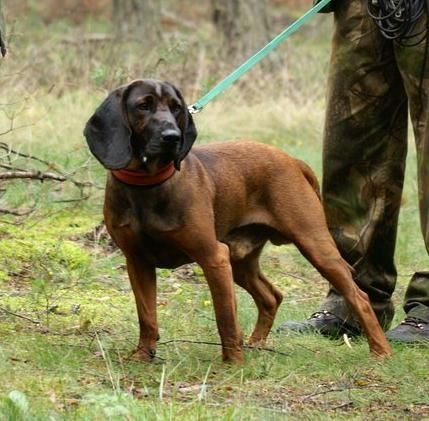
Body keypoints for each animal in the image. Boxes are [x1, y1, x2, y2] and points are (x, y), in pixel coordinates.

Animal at [84, 79, 392, 360]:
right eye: (143, 106)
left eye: (176, 108)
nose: (173, 136)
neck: (147, 185)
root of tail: (292, 161)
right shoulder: (137, 262)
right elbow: (147, 316)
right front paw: (142, 356)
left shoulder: (213, 257)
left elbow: (225, 319)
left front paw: (232, 364)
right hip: (240, 260)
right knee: (271, 296)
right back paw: (256, 344)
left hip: (315, 246)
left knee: (360, 297)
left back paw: (380, 350)